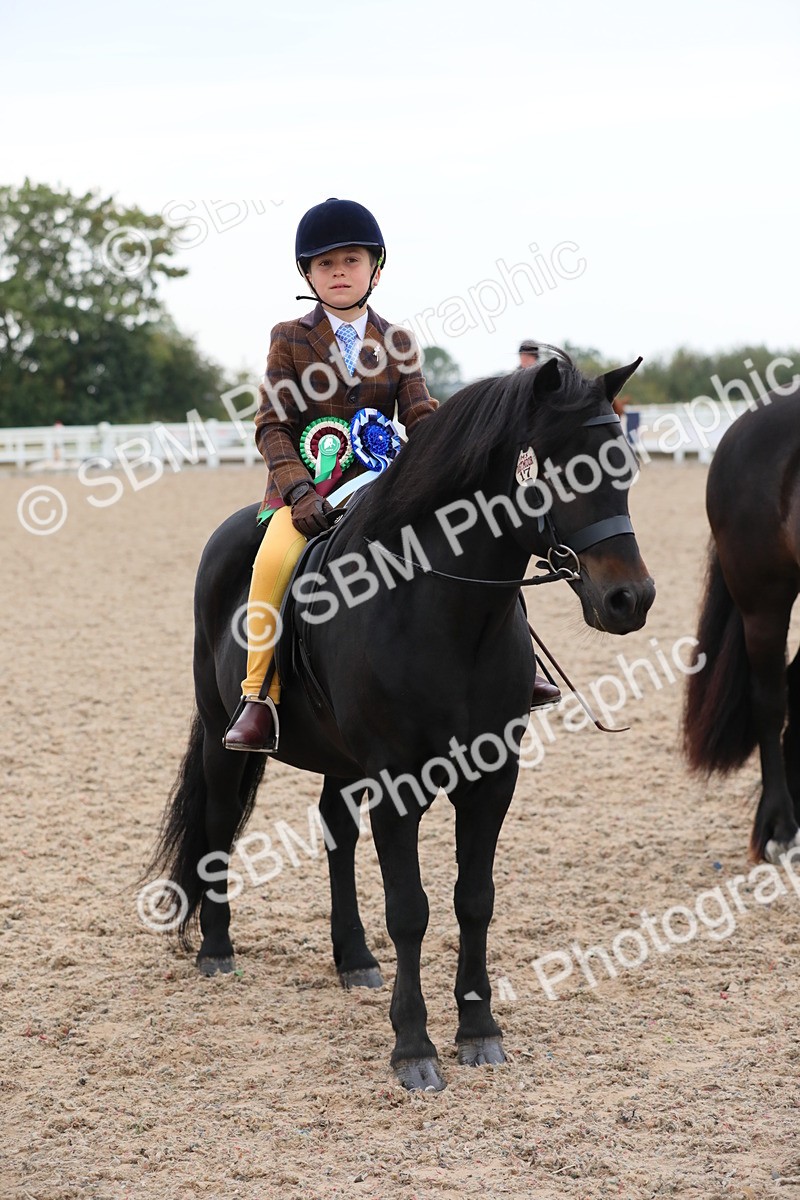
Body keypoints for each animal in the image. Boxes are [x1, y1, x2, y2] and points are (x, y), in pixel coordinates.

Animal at [149, 353, 656, 1092]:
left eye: (624, 465)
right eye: (566, 468)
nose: (630, 598)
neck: (445, 613)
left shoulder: (491, 778)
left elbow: (474, 897)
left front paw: (479, 1030)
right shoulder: (397, 783)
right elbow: (410, 909)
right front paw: (414, 1047)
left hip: (339, 758)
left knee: (335, 831)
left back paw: (353, 958)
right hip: (225, 739)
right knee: (216, 824)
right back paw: (216, 948)